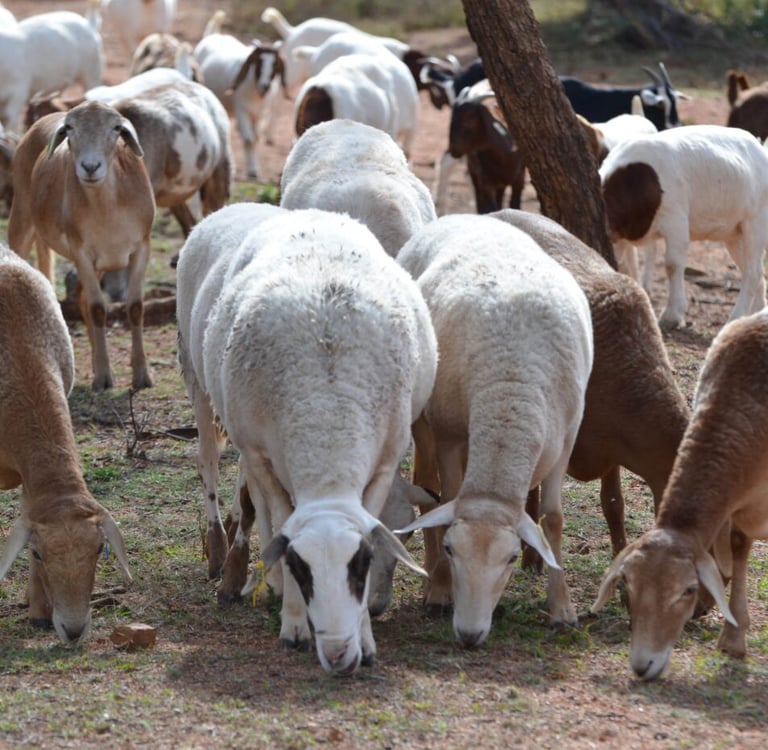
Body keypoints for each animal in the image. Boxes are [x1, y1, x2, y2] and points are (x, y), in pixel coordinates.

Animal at [7, 101, 156, 391]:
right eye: (70, 128)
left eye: (116, 128)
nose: (90, 166)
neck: (109, 211)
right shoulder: (82, 252)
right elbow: (98, 309)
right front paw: (103, 379)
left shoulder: (140, 247)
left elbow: (135, 307)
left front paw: (142, 376)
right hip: (21, 216)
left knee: (84, 297)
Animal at [176, 204, 437, 674]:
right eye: (302, 567)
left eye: (361, 564)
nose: (337, 654)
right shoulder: (263, 455)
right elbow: (279, 518)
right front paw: (293, 621)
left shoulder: (385, 462)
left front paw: (365, 639)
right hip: (200, 383)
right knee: (219, 471)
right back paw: (232, 561)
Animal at [396, 214, 593, 647]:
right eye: (451, 549)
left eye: (512, 557)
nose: (469, 635)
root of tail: (462, 215)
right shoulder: (449, 435)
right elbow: (446, 499)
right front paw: (441, 587)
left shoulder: (566, 439)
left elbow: (553, 519)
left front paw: (562, 609)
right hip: (423, 416)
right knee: (427, 487)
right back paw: (433, 587)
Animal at [600, 124, 768, 329]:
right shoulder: (619, 234)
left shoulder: (676, 219)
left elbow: (672, 264)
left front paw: (672, 315)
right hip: (734, 233)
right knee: (754, 271)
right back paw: (754, 316)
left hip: (756, 220)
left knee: (753, 272)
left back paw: (736, 317)